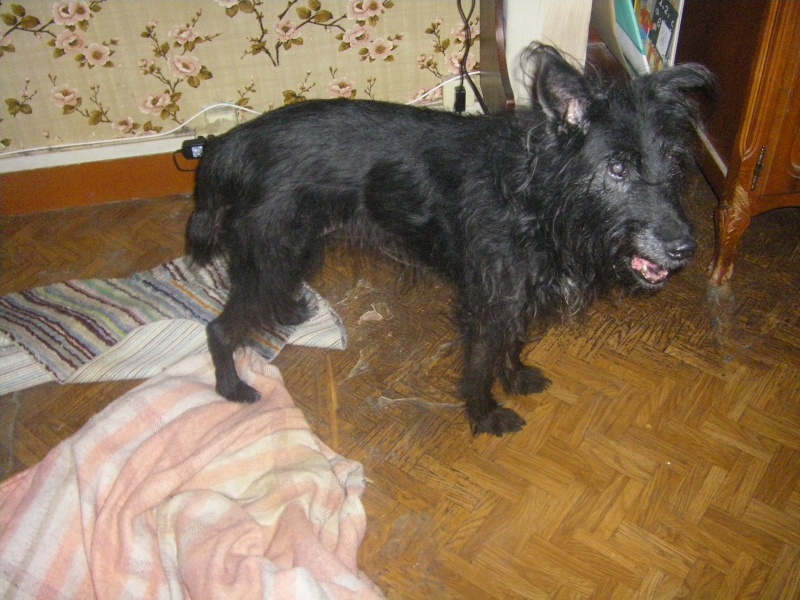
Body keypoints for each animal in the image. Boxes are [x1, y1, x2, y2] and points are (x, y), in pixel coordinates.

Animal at [191, 43, 716, 436]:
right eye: (618, 168)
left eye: (675, 163)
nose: (685, 249)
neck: (535, 200)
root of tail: (231, 144)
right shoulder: (487, 303)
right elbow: (480, 365)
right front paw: (485, 416)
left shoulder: (516, 296)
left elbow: (513, 342)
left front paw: (515, 376)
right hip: (271, 255)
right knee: (220, 329)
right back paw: (232, 388)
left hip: (290, 252)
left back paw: (289, 312)